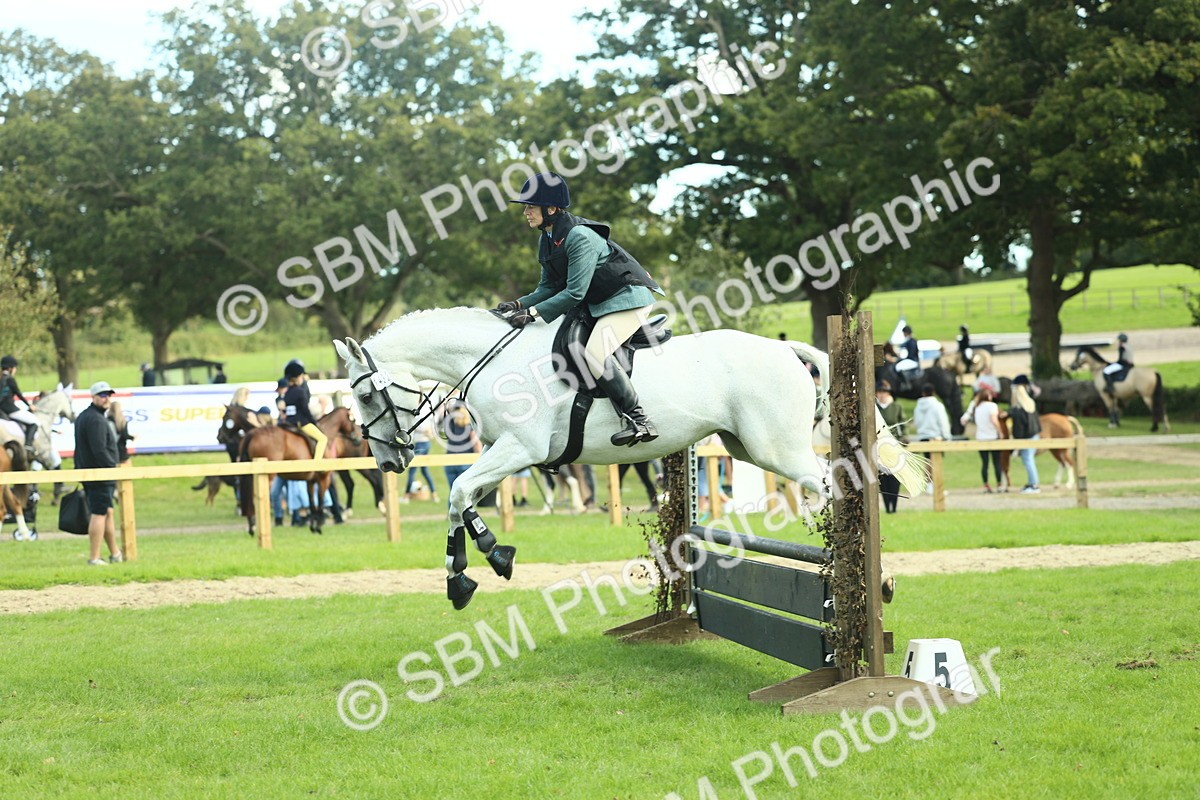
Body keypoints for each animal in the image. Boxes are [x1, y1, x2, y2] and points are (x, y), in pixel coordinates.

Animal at [334, 306, 928, 610]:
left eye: (363, 395)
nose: (389, 463)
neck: (497, 362)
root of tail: (784, 348)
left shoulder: (519, 449)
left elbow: (458, 491)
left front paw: (478, 565)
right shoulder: (508, 455)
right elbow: (462, 500)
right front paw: (475, 563)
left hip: (774, 447)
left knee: (834, 485)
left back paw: (849, 570)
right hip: (747, 445)